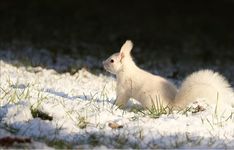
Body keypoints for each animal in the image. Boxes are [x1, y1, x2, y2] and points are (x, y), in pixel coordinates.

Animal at [103, 40, 234, 109]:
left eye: (112, 61)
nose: (103, 63)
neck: (125, 71)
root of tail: (172, 104)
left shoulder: (124, 89)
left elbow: (121, 100)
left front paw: (115, 106)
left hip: (149, 99)